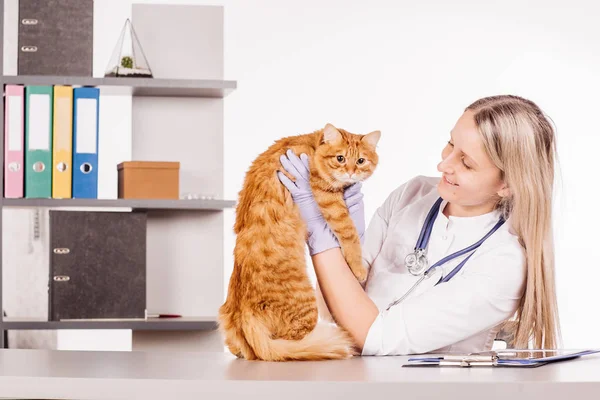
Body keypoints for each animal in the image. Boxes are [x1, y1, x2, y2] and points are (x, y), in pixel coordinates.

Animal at [219, 123, 380, 360]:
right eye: (340, 158)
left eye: (360, 161)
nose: (351, 172)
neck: (312, 146)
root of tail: (243, 313)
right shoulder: (329, 199)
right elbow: (350, 234)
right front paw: (358, 269)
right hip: (305, 309)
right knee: (291, 343)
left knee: (243, 349)